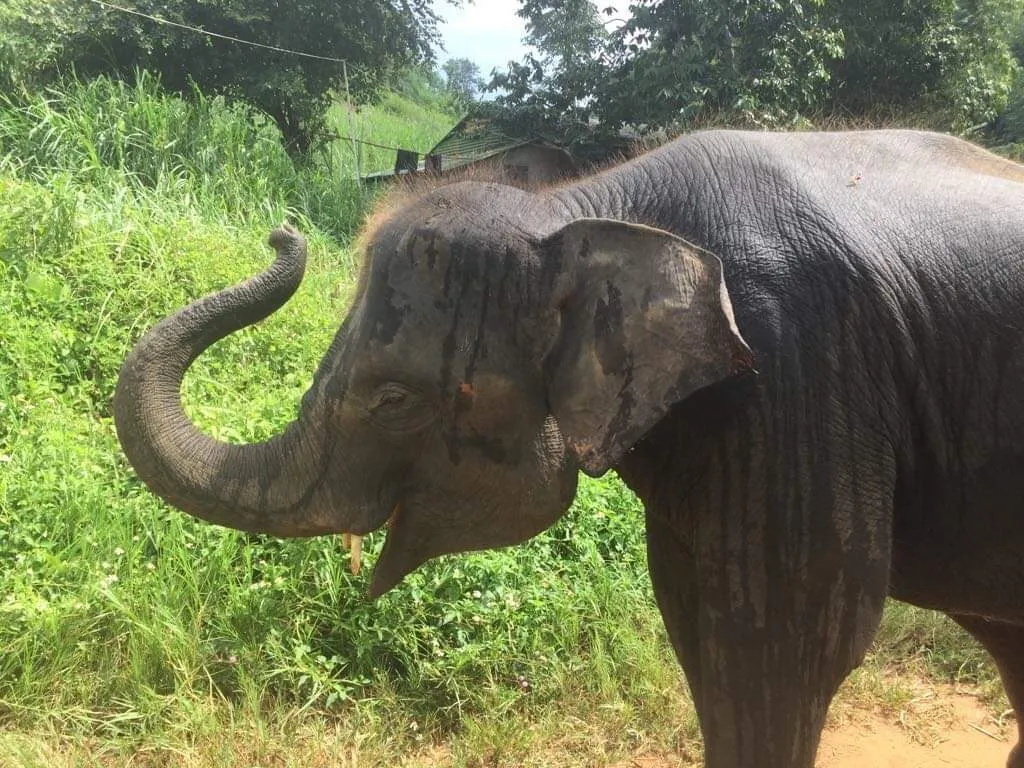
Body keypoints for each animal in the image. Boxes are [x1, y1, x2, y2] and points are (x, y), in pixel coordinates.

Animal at [114, 129, 1024, 768]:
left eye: (392, 399)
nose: (283, 232)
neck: (585, 204)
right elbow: (698, 622)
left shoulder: (798, 372)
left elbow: (781, 640)